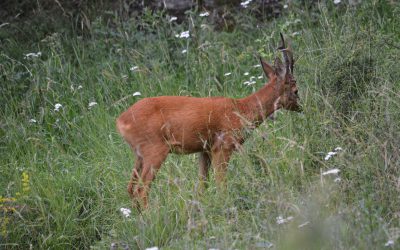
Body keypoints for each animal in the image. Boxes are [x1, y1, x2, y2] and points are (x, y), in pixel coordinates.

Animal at [115, 33, 300, 209]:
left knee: (130, 188)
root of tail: (120, 121)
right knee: (141, 190)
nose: (301, 107)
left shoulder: (204, 150)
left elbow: (202, 186)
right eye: (296, 89)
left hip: (140, 154)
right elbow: (221, 184)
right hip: (155, 149)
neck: (241, 110)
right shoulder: (223, 145)